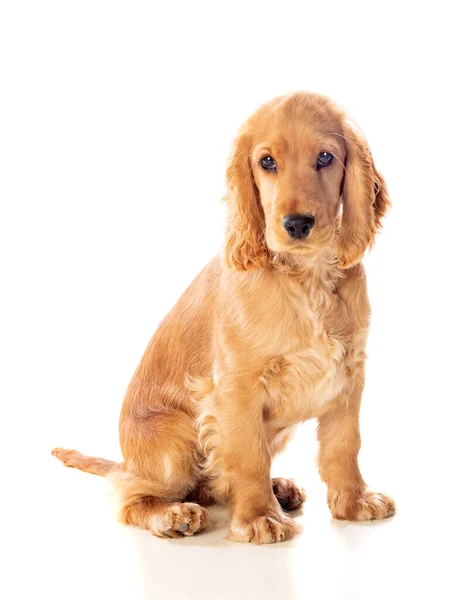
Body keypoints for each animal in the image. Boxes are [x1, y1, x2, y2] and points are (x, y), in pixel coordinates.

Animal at [52, 90, 394, 544]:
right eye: (267, 162)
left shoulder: (349, 371)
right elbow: (248, 455)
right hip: (175, 443)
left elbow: (344, 444)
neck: (308, 279)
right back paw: (173, 513)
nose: (297, 224)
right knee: (129, 493)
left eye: (325, 157)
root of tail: (127, 458)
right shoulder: (235, 386)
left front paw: (354, 502)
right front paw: (258, 518)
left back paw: (278, 489)